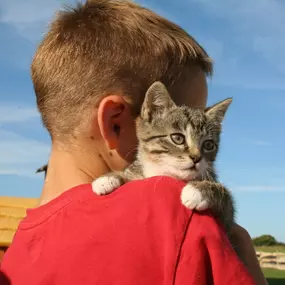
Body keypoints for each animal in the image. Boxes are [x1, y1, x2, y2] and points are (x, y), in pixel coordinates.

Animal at [92, 81, 234, 234]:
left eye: (208, 145)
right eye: (178, 138)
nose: (196, 158)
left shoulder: (228, 220)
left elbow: (226, 197)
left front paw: (199, 190)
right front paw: (109, 177)